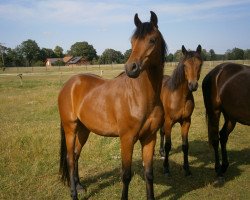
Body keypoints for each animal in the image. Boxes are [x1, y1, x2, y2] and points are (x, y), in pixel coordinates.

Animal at [57, 11, 167, 200]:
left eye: (152, 40)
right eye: (132, 41)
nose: (131, 68)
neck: (142, 97)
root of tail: (69, 85)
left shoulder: (150, 138)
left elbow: (149, 173)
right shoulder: (127, 139)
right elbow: (126, 175)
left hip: (83, 129)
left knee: (77, 155)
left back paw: (79, 186)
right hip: (70, 127)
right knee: (70, 158)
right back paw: (74, 193)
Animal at [160, 45, 203, 175]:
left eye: (200, 64)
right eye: (185, 65)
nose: (193, 85)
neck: (179, 97)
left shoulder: (186, 122)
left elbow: (185, 146)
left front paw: (187, 168)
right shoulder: (168, 122)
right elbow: (168, 145)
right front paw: (166, 168)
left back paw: (161, 152)